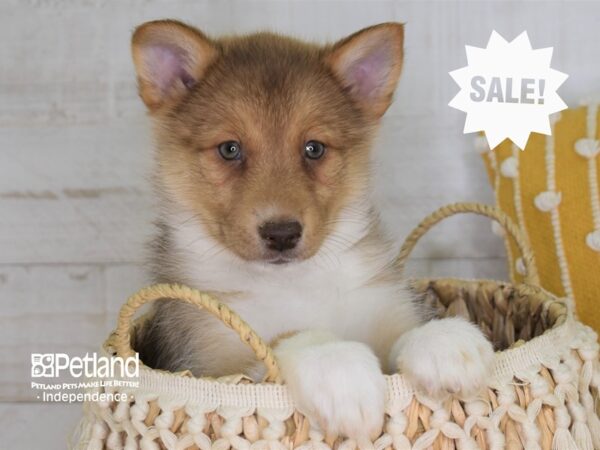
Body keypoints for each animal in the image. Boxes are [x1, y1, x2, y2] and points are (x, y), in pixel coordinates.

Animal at [134, 20, 494, 442]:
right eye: (229, 149)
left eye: (314, 148)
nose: (282, 233)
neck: (295, 283)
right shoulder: (213, 364)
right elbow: (290, 337)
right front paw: (339, 369)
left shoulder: (384, 307)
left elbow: (405, 334)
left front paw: (444, 342)